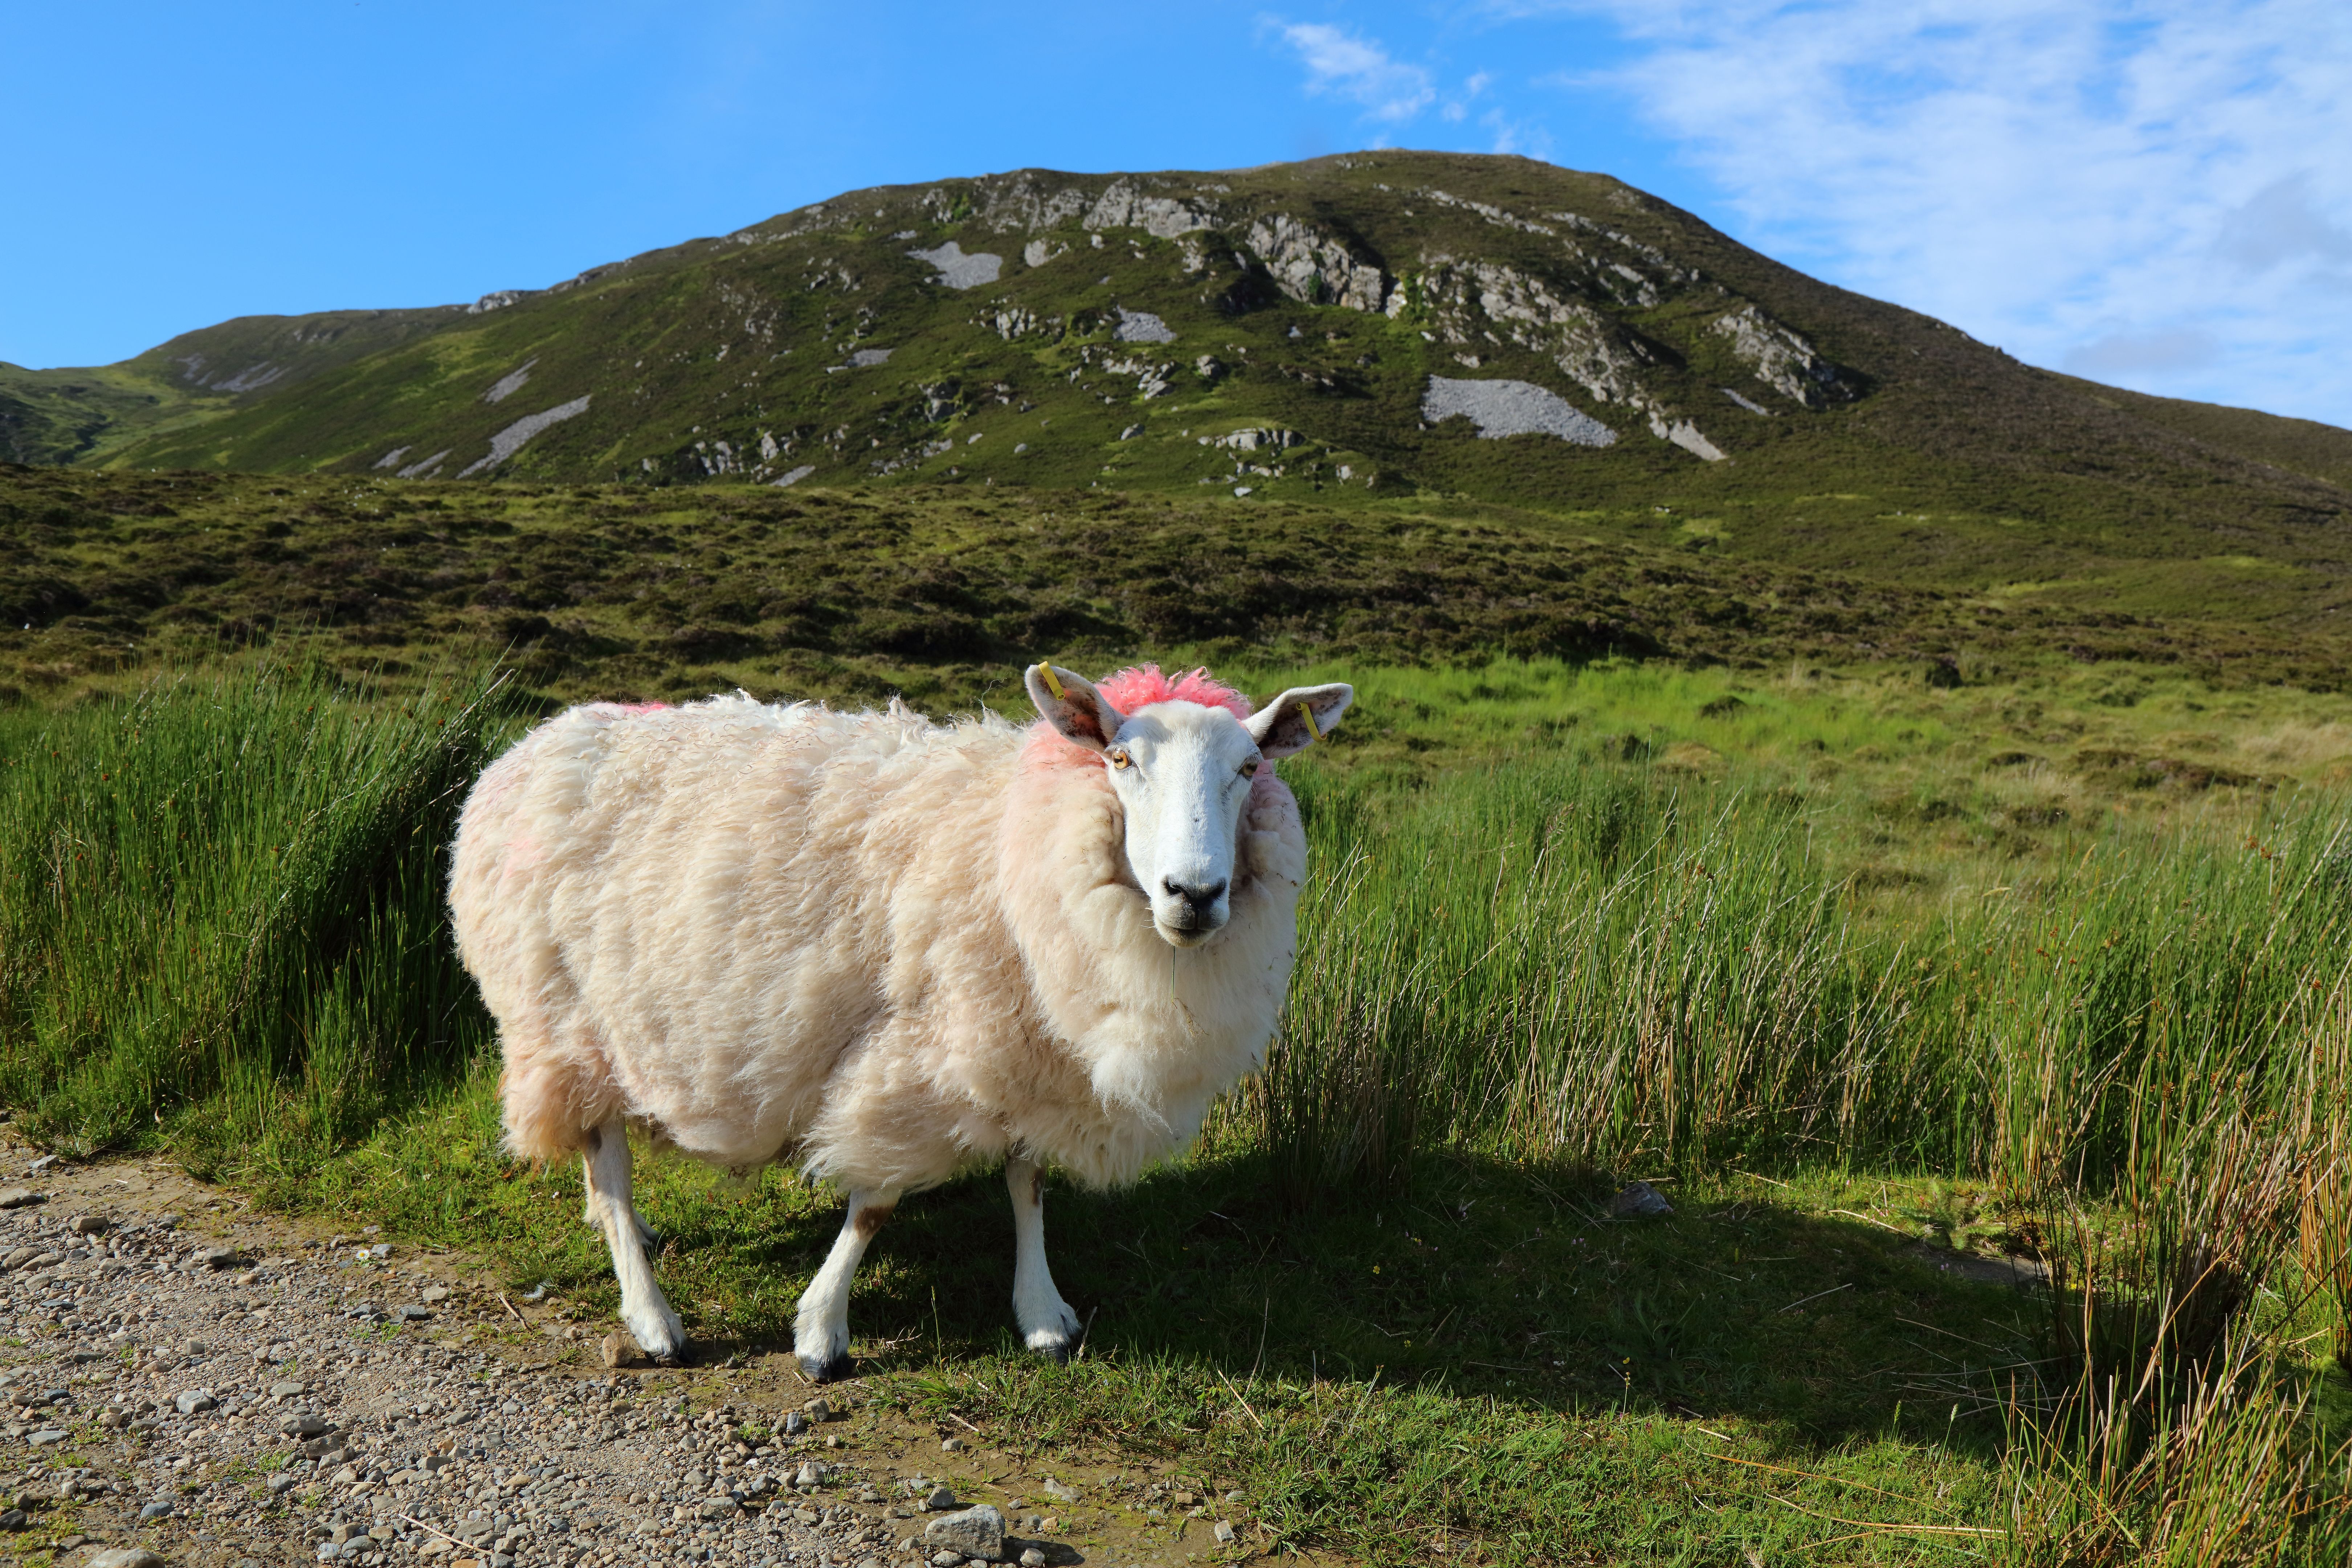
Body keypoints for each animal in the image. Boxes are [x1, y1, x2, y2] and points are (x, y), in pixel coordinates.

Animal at [447, 662, 1352, 1378]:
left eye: (1249, 767)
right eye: (1121, 759)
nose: (1193, 895)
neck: (1011, 843)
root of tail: (536, 741)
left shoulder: (1019, 1043)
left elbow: (1028, 1181)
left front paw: (1043, 1314)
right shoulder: (918, 1047)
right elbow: (876, 1203)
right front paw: (821, 1332)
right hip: (561, 1016)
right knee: (606, 1164)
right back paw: (651, 1317)